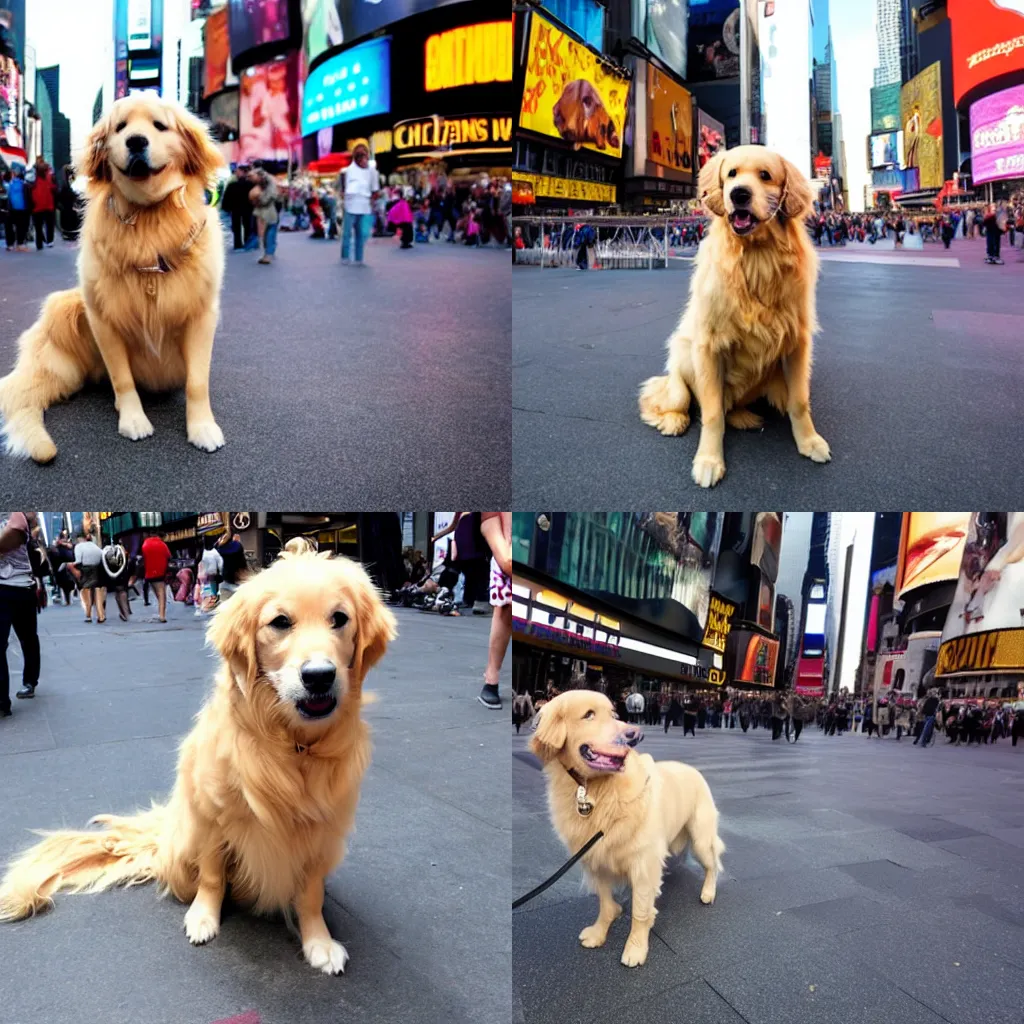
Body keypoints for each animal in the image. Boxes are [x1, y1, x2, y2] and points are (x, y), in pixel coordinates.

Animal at [0, 94, 226, 462]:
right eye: (120, 128)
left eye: (159, 126)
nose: (135, 141)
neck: (149, 218)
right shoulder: (103, 320)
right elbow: (122, 378)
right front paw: (133, 419)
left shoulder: (202, 316)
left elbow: (197, 382)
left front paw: (202, 427)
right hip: (64, 312)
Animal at [0, 552, 395, 974]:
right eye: (280, 622)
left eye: (339, 618)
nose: (319, 677)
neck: (292, 747)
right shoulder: (212, 817)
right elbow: (212, 877)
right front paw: (203, 917)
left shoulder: (322, 833)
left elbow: (310, 895)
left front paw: (318, 941)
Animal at [532, 688, 724, 966]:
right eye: (588, 715)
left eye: (614, 713)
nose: (635, 734)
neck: (594, 789)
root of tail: (692, 768)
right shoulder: (595, 858)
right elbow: (605, 903)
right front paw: (600, 932)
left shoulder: (643, 864)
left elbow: (640, 912)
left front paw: (635, 948)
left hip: (700, 838)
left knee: (713, 865)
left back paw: (708, 892)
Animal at [638, 145, 831, 491]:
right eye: (731, 174)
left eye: (765, 175)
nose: (739, 194)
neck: (756, 256)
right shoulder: (708, 347)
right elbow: (712, 414)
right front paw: (709, 461)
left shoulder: (797, 343)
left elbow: (799, 402)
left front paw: (809, 442)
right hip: (680, 365)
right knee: (672, 400)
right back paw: (674, 420)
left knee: (735, 406)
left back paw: (744, 417)